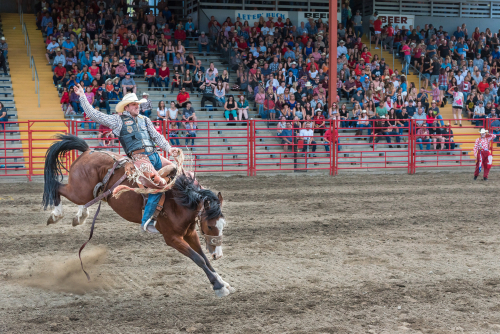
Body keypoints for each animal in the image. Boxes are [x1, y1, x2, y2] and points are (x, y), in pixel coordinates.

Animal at [41, 134, 234, 298]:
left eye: (223, 225)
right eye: (210, 225)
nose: (218, 255)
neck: (180, 200)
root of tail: (88, 150)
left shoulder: (190, 233)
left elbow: (204, 258)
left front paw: (223, 282)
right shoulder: (172, 238)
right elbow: (198, 258)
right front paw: (218, 287)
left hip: (87, 192)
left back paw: (80, 216)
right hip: (79, 191)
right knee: (57, 187)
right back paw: (56, 215)